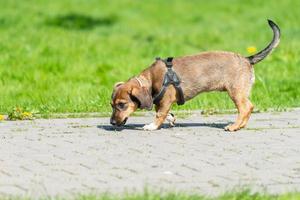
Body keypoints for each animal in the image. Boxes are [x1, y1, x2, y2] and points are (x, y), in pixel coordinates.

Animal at [110, 19, 282, 131]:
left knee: (246, 107)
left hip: (236, 92)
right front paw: (171, 118)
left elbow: (159, 114)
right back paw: (240, 126)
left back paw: (233, 126)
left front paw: (152, 126)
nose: (111, 122)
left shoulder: (165, 101)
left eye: (122, 104)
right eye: (111, 105)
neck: (151, 79)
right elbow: (165, 113)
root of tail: (247, 59)